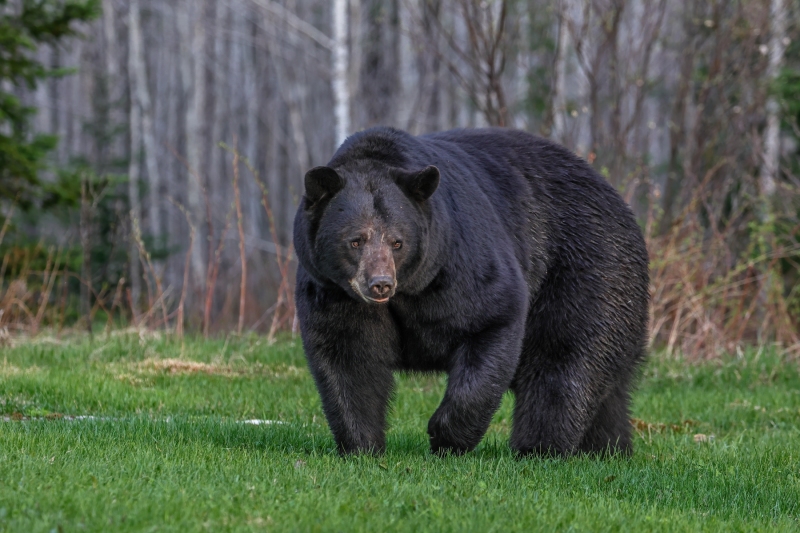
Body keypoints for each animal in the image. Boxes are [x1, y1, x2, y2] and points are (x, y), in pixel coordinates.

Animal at [293, 126, 649, 457]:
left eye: (397, 242)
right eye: (356, 240)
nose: (380, 283)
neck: (409, 290)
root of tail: (616, 197)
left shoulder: (461, 266)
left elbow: (490, 320)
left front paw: (445, 438)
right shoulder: (333, 293)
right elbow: (348, 356)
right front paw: (362, 445)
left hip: (588, 268)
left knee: (565, 358)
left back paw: (540, 447)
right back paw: (607, 448)